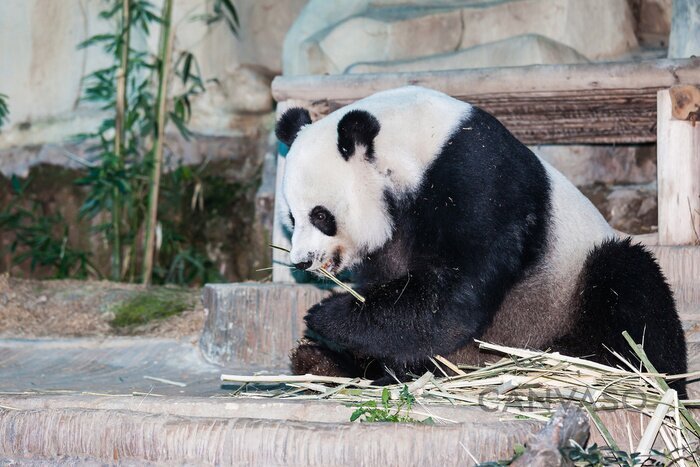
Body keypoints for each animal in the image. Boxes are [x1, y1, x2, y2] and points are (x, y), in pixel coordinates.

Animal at [274, 85, 688, 394]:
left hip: (572, 282)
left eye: (321, 215)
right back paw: (317, 361)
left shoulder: (478, 177)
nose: (302, 261)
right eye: (292, 217)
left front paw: (326, 315)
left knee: (630, 286)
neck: (414, 143)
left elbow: (455, 297)